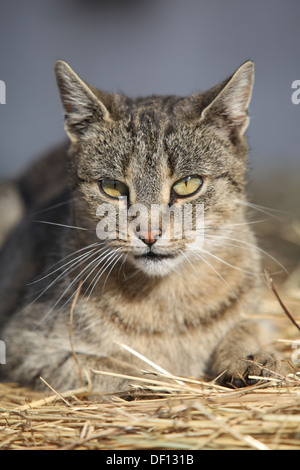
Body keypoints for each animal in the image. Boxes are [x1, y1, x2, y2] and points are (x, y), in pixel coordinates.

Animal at [0, 60, 284, 392]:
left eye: (188, 184)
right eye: (112, 187)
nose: (149, 234)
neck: (166, 302)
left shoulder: (262, 316)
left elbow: (246, 327)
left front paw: (251, 359)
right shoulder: (25, 343)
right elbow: (107, 366)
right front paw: (148, 379)